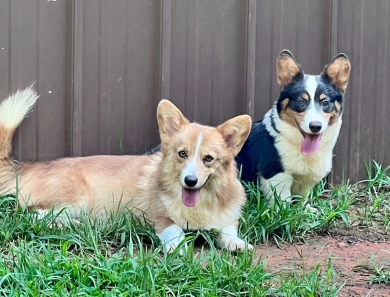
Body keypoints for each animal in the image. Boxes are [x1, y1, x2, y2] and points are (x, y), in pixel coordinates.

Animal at [0, 86, 253, 251]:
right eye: (182, 154)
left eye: (208, 158)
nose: (190, 181)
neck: (200, 204)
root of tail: (31, 166)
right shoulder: (159, 218)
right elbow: (175, 230)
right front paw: (178, 248)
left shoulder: (227, 218)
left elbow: (228, 230)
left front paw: (238, 244)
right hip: (77, 199)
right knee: (32, 215)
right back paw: (73, 224)